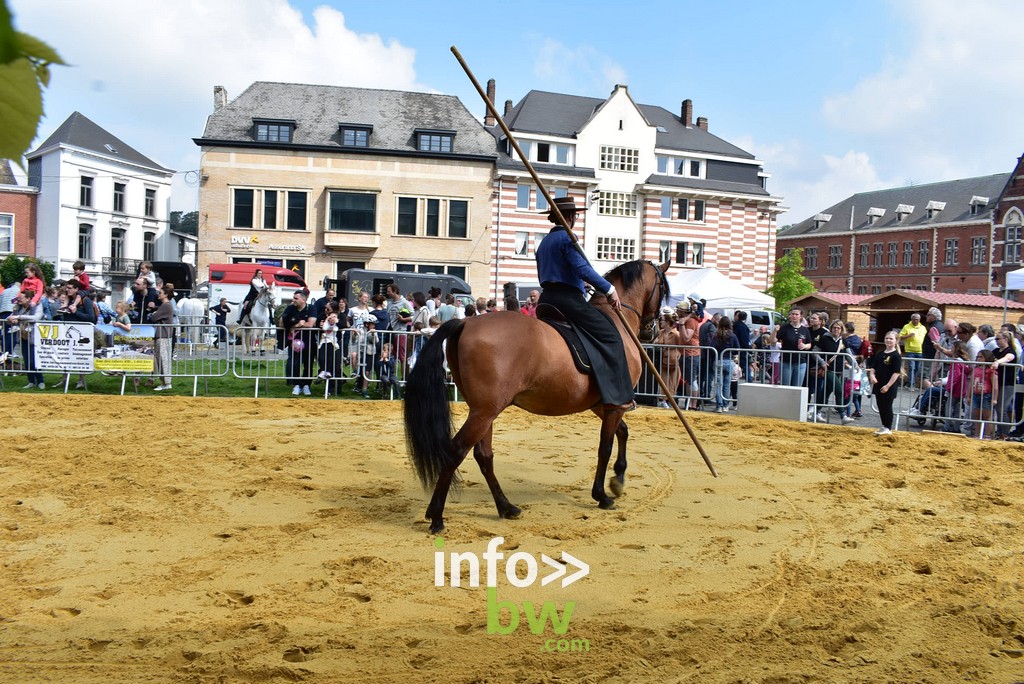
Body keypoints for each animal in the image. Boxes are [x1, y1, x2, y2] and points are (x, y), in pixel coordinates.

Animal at [403, 259, 667, 532]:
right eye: (663, 288)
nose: (652, 331)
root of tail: (466, 323)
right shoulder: (614, 403)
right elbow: (605, 446)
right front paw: (602, 495)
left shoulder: (605, 403)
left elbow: (622, 432)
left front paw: (618, 479)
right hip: (485, 412)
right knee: (456, 452)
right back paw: (437, 517)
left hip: (483, 411)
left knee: (483, 456)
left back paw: (506, 507)